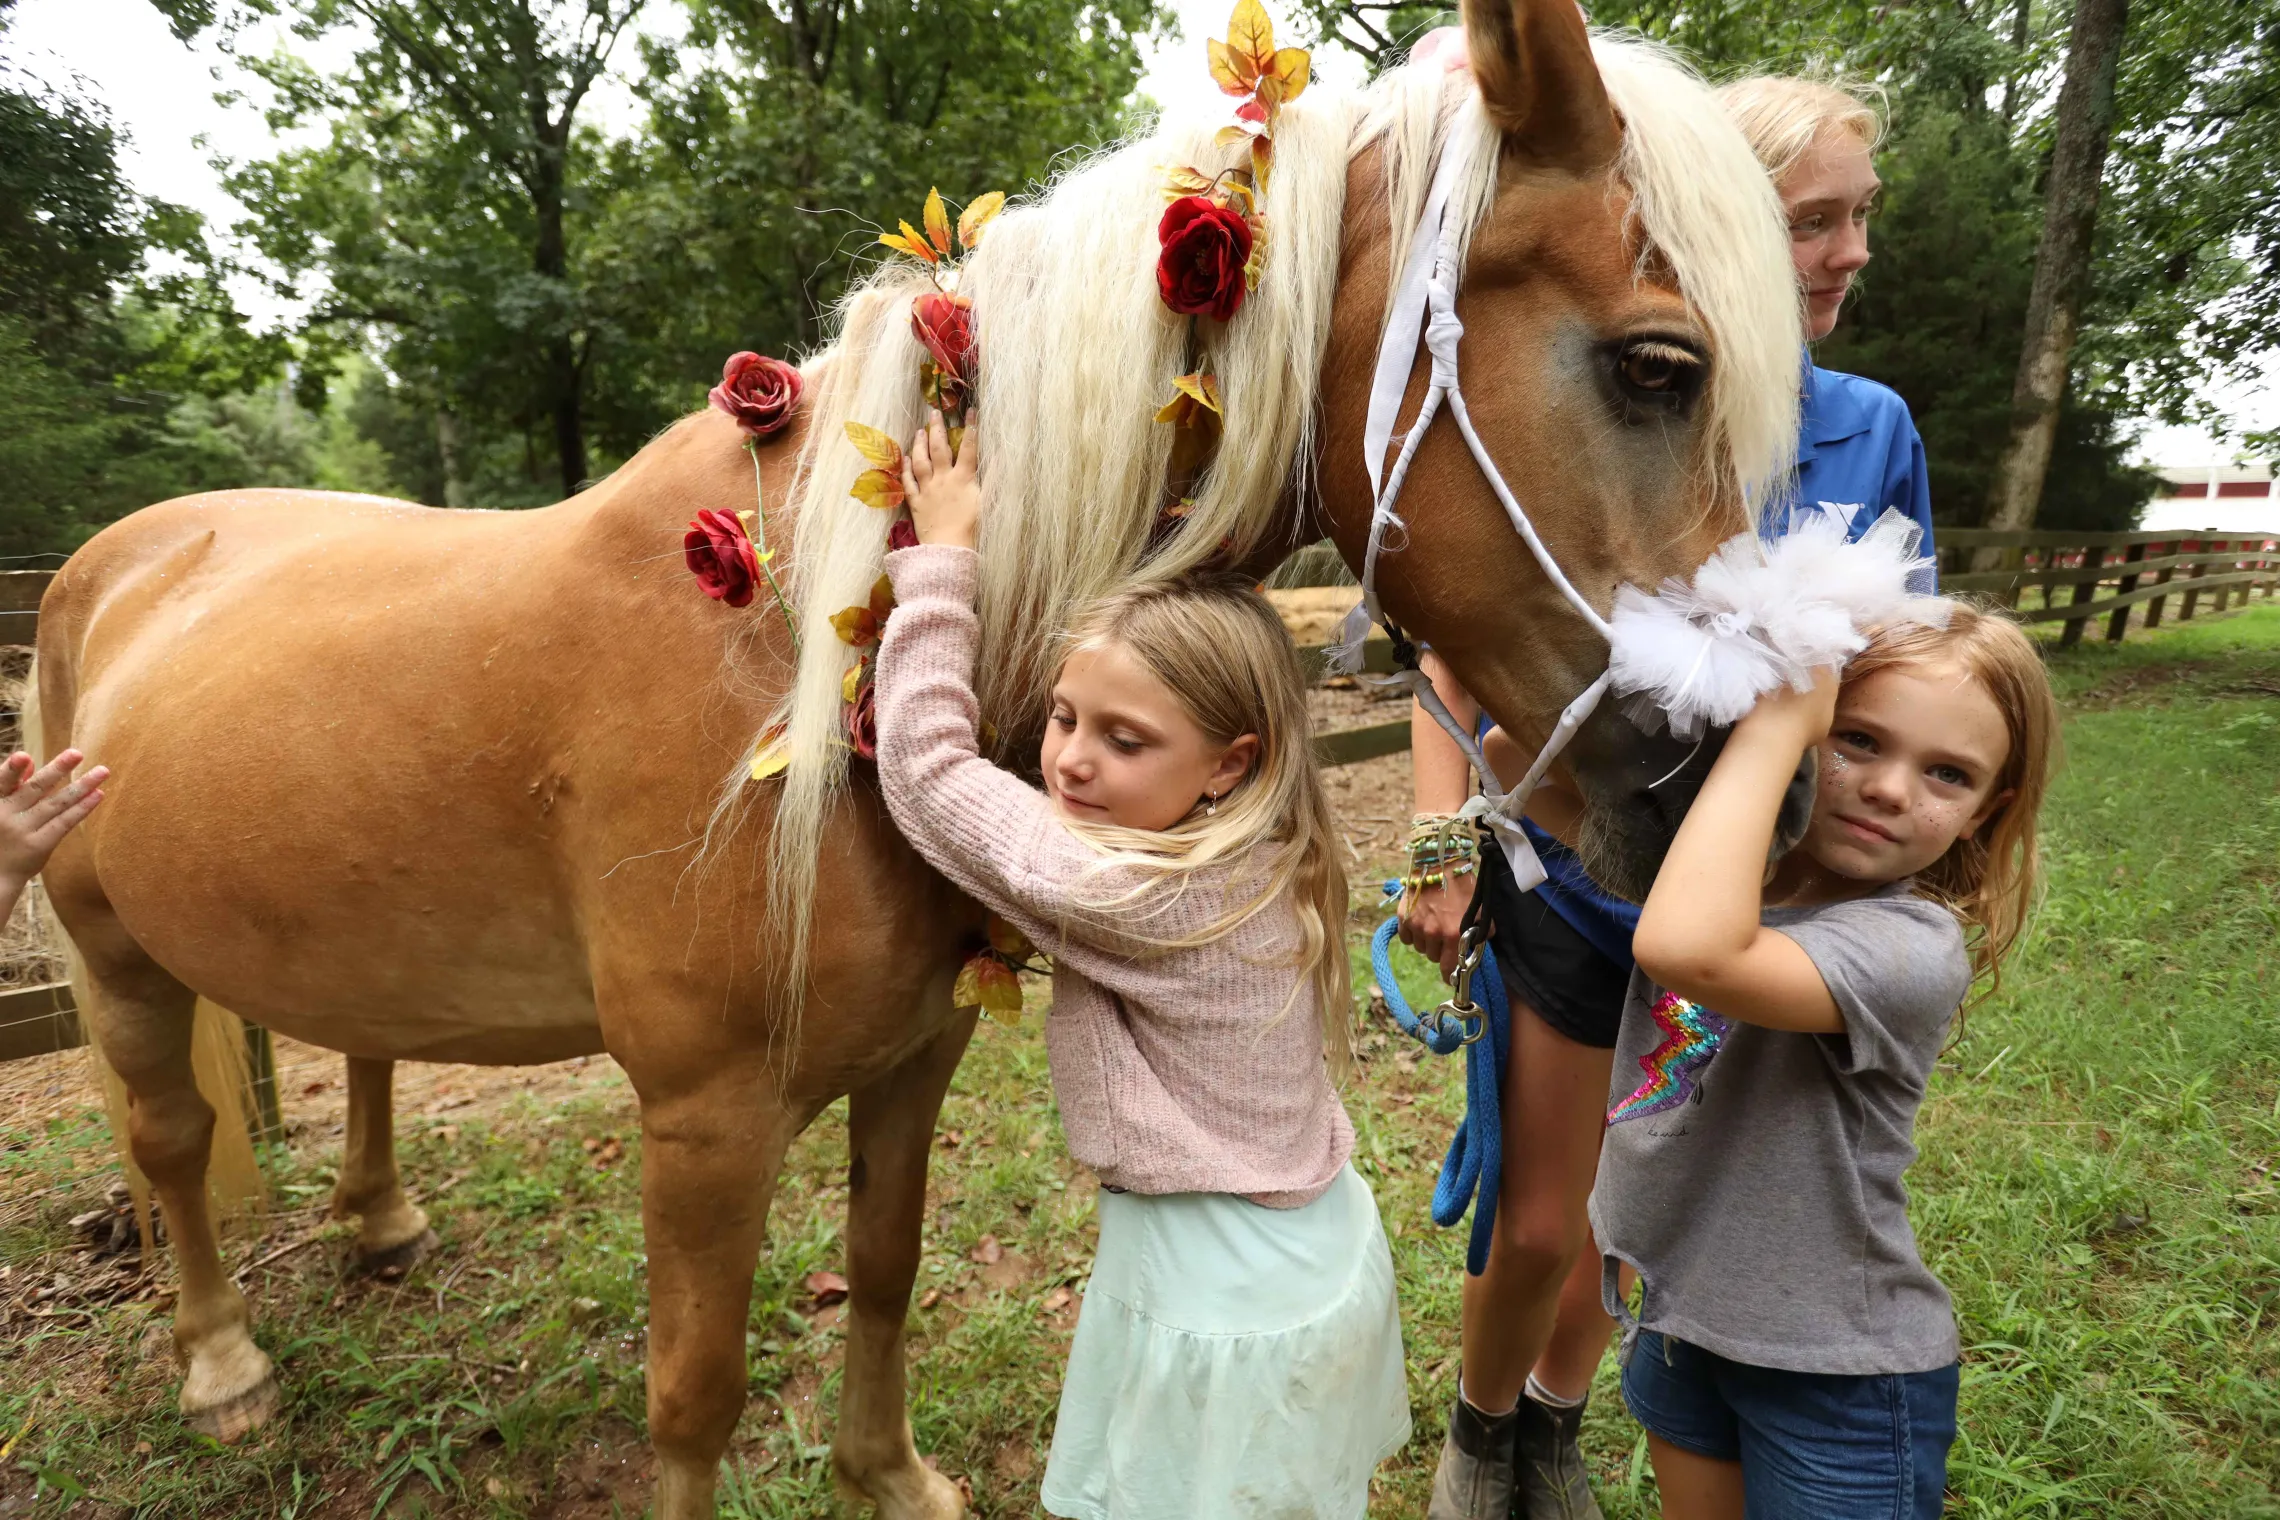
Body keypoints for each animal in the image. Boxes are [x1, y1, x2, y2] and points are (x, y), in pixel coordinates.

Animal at [30, 2, 1799, 1513]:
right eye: (1659, 365)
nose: (1732, 809)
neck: (807, 651)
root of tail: (110, 562)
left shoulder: (917, 1054)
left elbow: (880, 1272)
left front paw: (889, 1479)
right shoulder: (706, 1121)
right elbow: (696, 1391)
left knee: (362, 1049)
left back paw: (379, 1219)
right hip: (113, 952)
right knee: (167, 1141)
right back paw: (221, 1369)